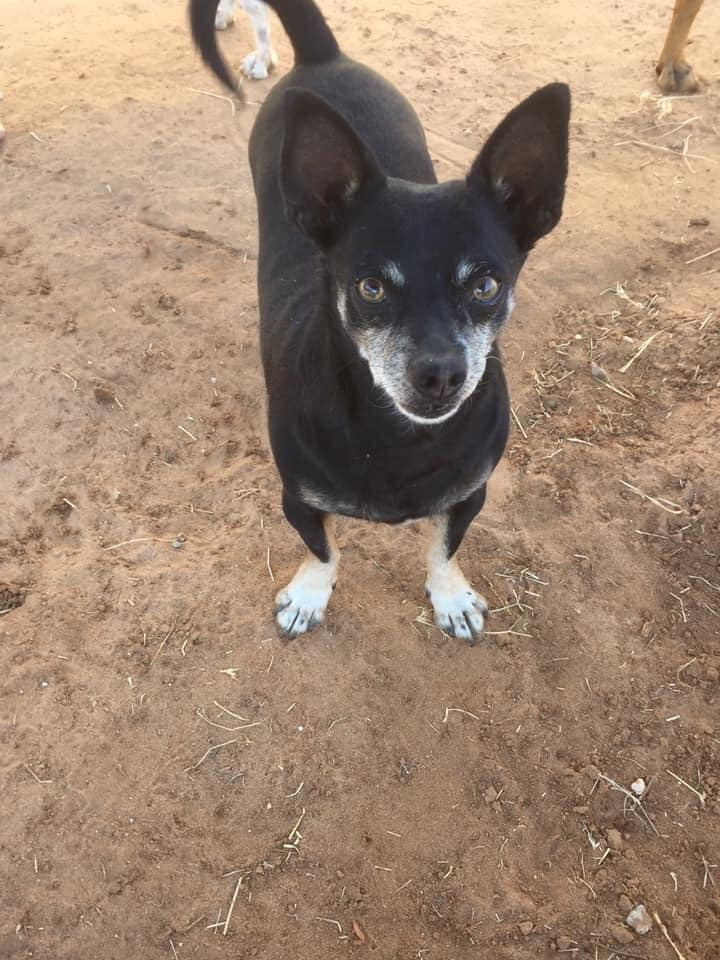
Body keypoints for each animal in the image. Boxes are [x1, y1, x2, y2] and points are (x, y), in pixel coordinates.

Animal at [188, 1, 572, 644]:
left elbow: (442, 549)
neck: (398, 440)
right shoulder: (298, 499)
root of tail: (323, 58)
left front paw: (451, 598)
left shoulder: (469, 496)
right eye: (371, 287)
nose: (440, 374)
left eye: (485, 286)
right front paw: (308, 597)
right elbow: (323, 550)